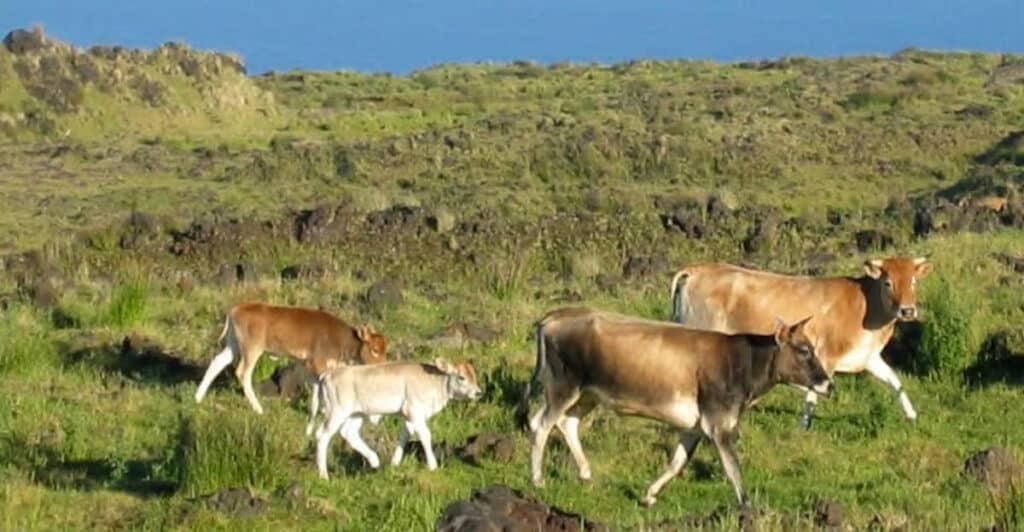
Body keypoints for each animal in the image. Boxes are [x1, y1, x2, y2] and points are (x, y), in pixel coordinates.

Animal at [193, 302, 389, 435]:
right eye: (375, 349)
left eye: (385, 348)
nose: (384, 365)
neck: (342, 339)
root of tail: (236, 308)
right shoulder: (318, 366)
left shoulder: (311, 369)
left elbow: (316, 397)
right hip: (252, 349)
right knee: (243, 373)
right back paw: (259, 409)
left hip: (232, 345)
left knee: (217, 363)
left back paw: (198, 397)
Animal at [313, 358, 483, 480]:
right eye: (461, 377)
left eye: (474, 375)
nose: (478, 392)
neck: (434, 382)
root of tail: (328, 374)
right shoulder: (415, 411)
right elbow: (425, 436)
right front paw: (433, 465)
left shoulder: (408, 416)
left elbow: (405, 436)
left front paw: (395, 463)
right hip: (337, 412)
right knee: (323, 436)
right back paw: (323, 475)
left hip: (357, 413)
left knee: (349, 433)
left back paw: (374, 461)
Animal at [515, 306, 833, 507]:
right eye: (803, 350)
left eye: (812, 348)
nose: (828, 383)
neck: (742, 361)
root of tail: (554, 316)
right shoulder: (719, 423)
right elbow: (733, 468)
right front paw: (747, 506)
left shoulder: (694, 426)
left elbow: (677, 462)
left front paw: (649, 495)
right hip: (563, 386)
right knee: (541, 425)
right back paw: (538, 479)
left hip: (586, 394)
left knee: (567, 423)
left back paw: (585, 474)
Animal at [669, 256, 932, 429]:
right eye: (888, 282)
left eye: (914, 282)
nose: (908, 310)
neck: (865, 306)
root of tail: (698, 269)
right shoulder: (826, 355)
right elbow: (815, 391)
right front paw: (805, 424)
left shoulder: (868, 357)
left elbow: (895, 382)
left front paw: (912, 415)